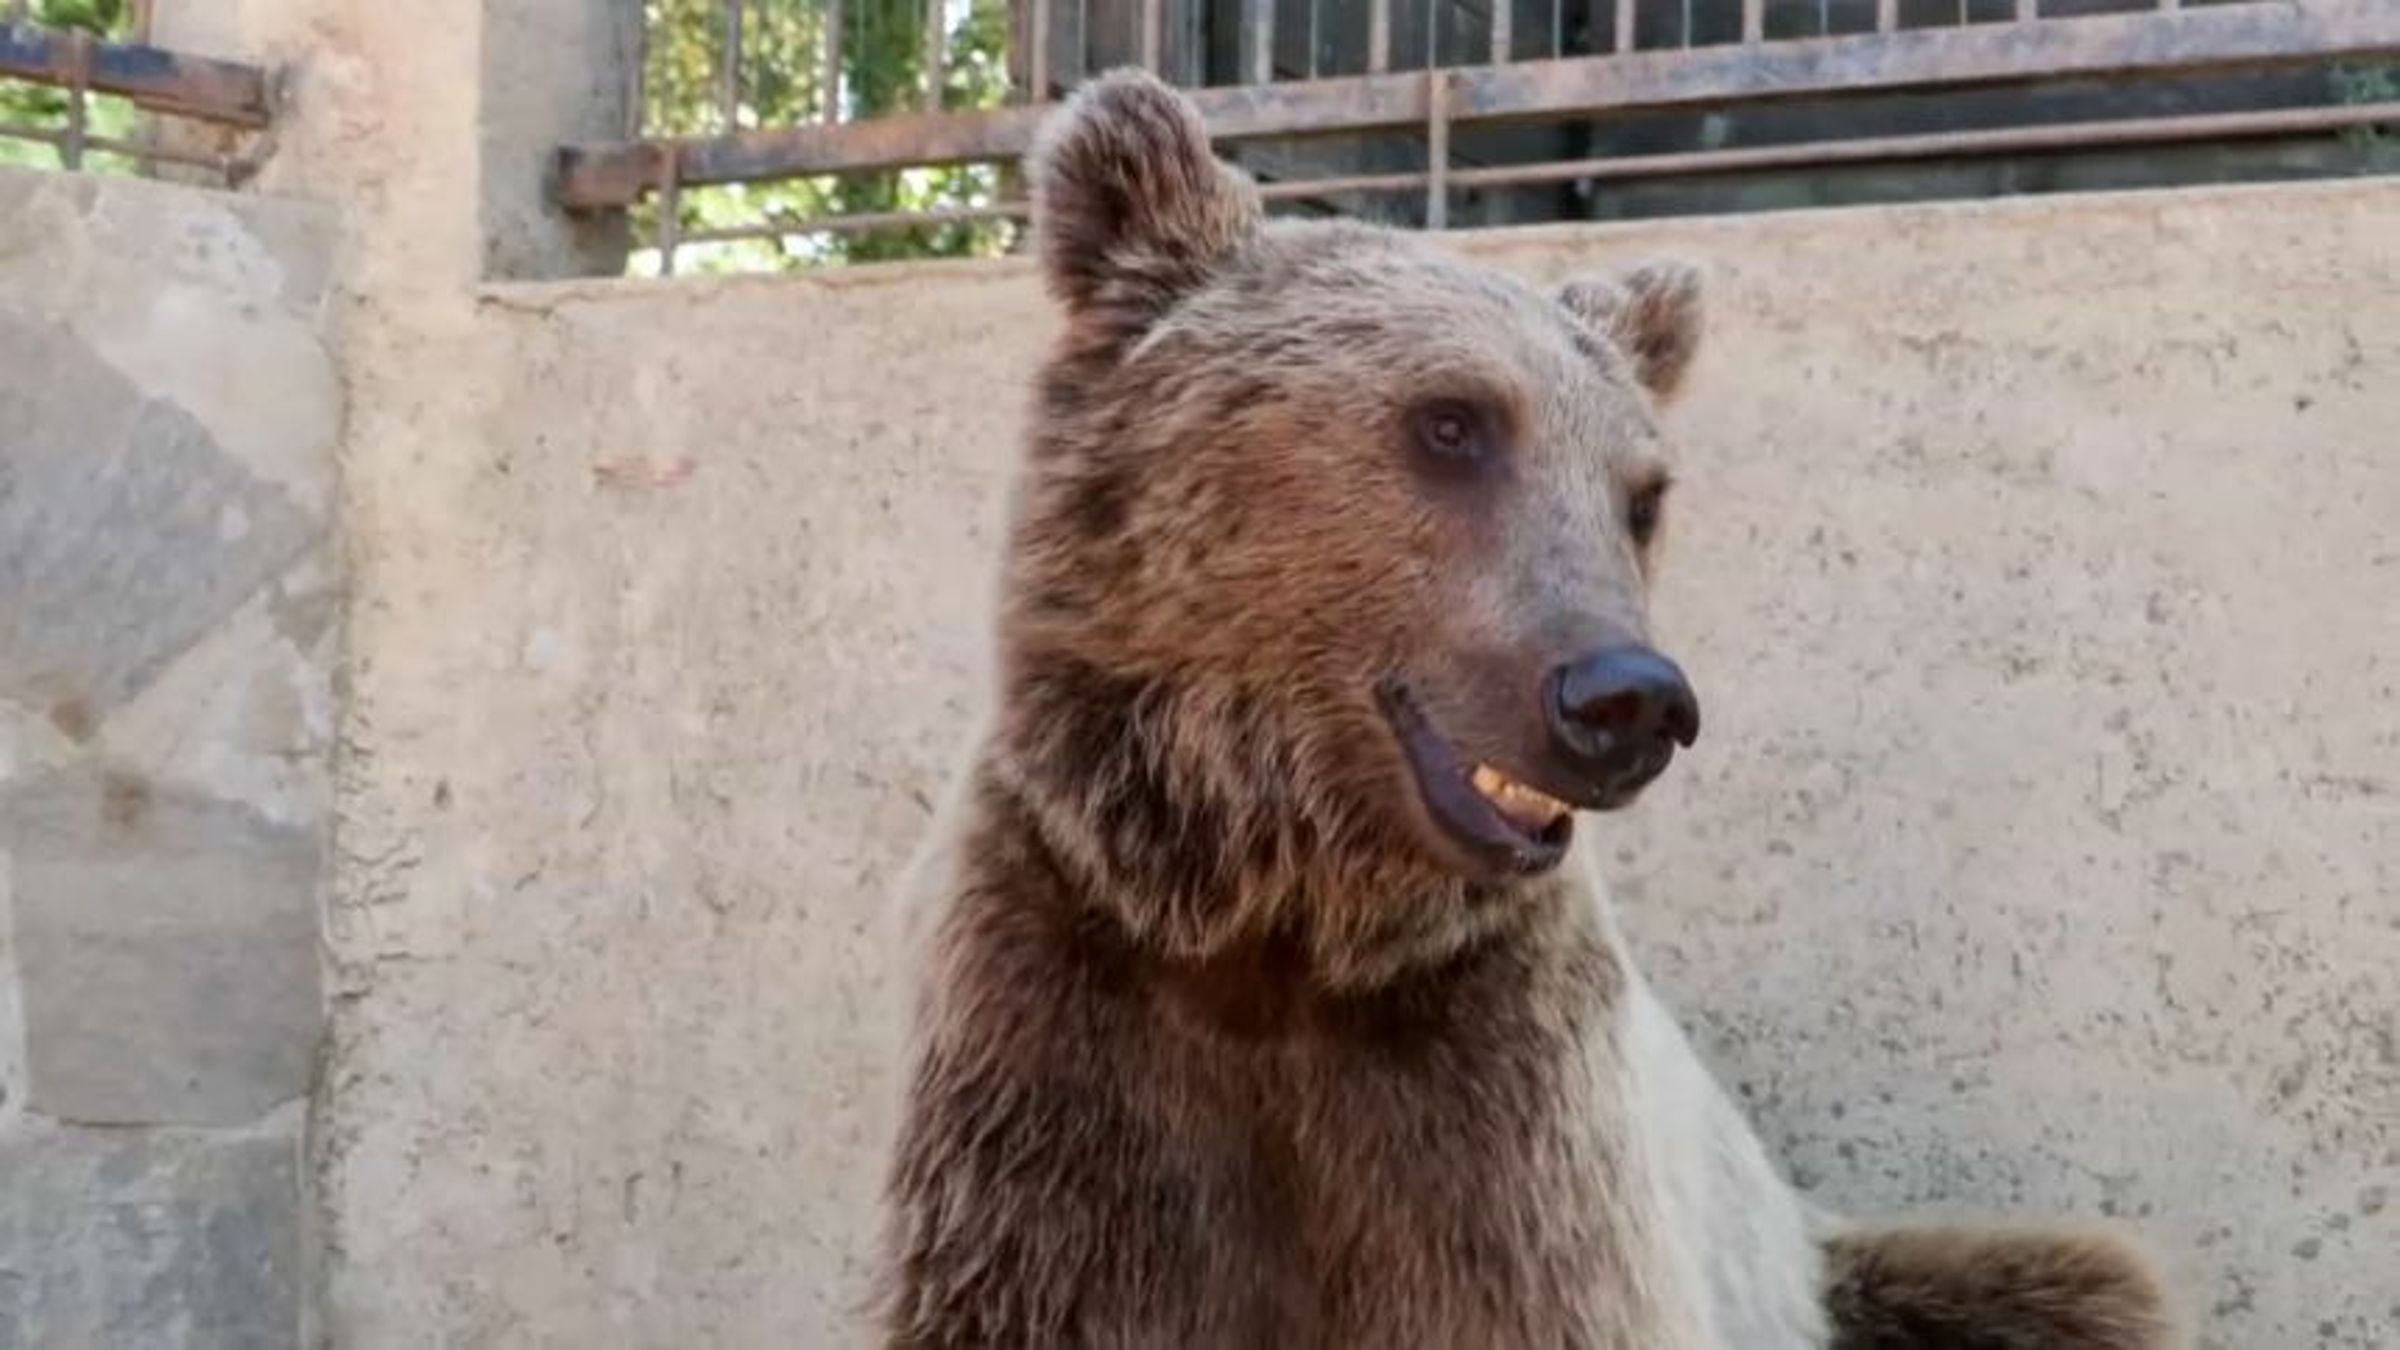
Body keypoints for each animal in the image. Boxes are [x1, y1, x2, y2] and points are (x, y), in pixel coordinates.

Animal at [875, 68, 2176, 1350]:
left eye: (1641, 497)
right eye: (1451, 422)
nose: (1630, 699)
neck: (1280, 920)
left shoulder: (1498, 1097)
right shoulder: (1070, 1024)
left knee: (2087, 1277)